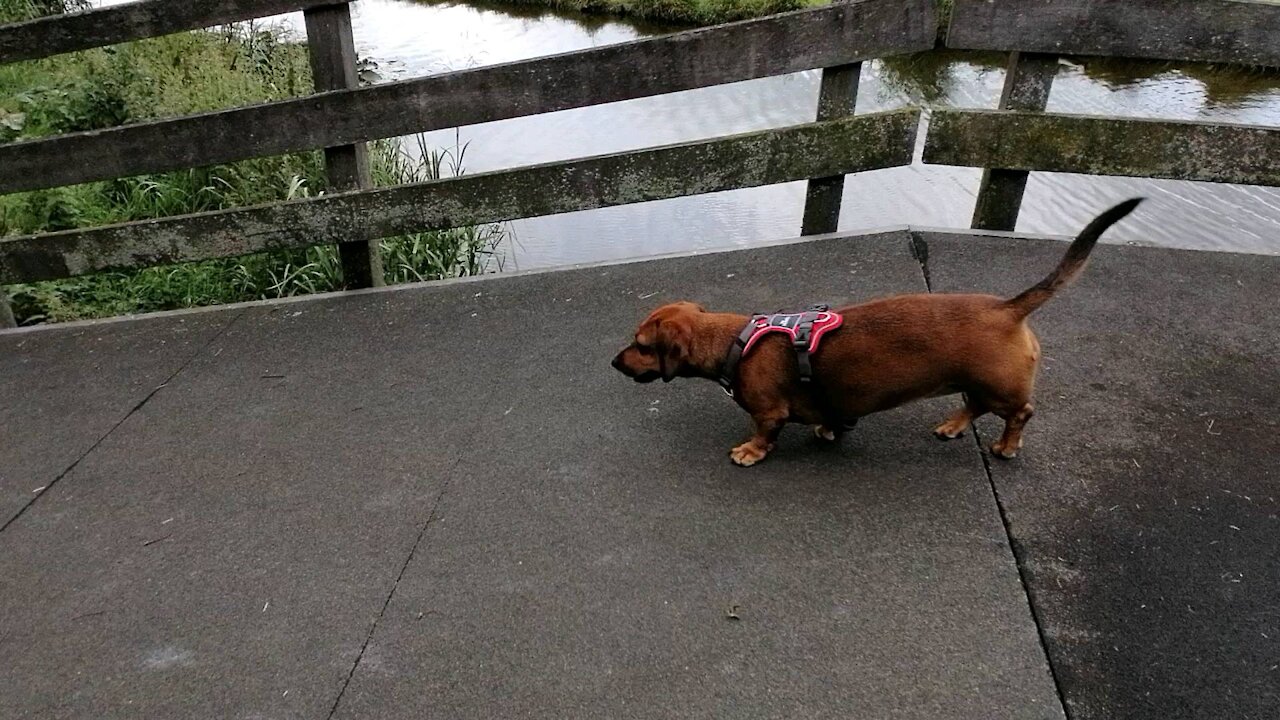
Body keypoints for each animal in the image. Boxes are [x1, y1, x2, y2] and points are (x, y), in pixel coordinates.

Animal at [609, 197, 1141, 466]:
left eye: (640, 345)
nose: (613, 362)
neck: (736, 342)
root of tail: (1007, 308)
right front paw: (828, 430)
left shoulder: (768, 411)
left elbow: (764, 431)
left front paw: (751, 452)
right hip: (974, 380)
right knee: (973, 404)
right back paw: (952, 426)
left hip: (1001, 386)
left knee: (1020, 413)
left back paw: (1008, 446)